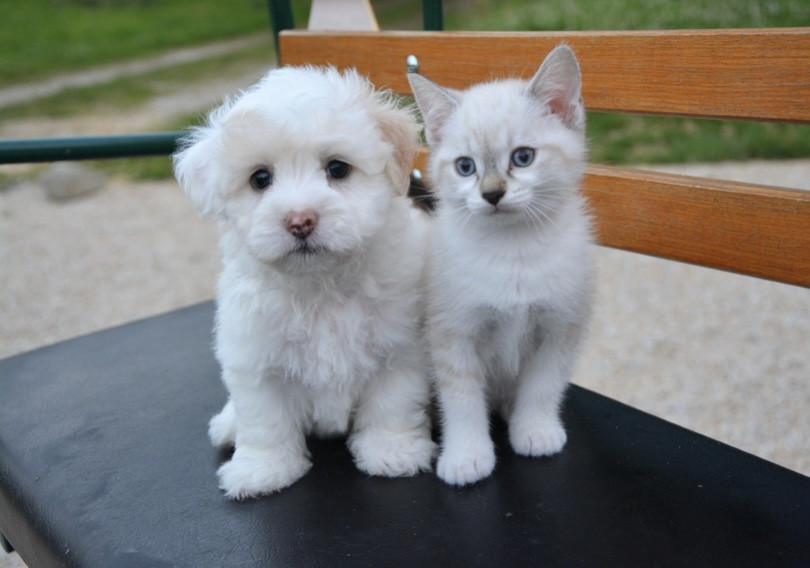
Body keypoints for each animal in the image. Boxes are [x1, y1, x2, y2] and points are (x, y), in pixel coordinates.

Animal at [172, 66, 436, 500]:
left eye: (337, 169)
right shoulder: (256, 360)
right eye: (260, 178)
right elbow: (265, 421)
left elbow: (392, 403)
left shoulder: (399, 348)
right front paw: (262, 469)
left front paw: (392, 450)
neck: (321, 285)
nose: (300, 220)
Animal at [410, 46, 592, 486]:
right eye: (465, 167)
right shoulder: (452, 332)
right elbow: (461, 400)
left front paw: (536, 429)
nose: (492, 194)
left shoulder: (560, 326)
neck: (514, 252)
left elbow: (543, 385)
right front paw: (466, 455)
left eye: (522, 158)